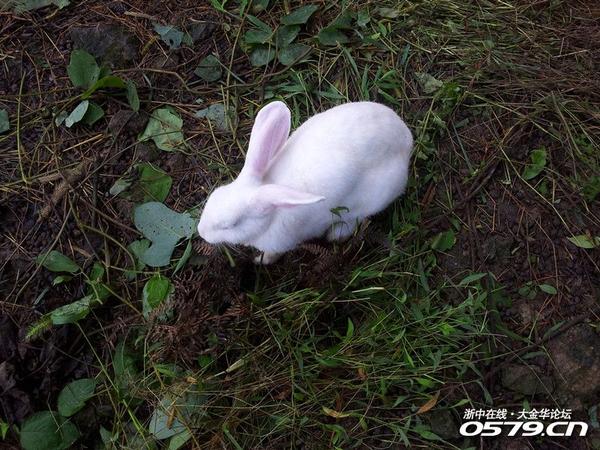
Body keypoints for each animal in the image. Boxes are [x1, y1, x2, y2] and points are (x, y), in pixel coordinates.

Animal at [197, 101, 412, 264]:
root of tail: (406, 138)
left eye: (230, 225)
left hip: (373, 198)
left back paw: (336, 234)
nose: (201, 232)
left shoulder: (280, 244)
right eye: (213, 197)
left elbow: (272, 255)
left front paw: (260, 261)